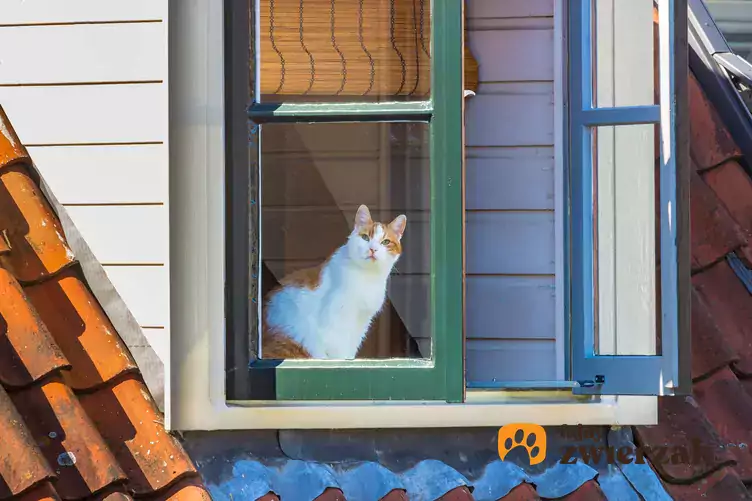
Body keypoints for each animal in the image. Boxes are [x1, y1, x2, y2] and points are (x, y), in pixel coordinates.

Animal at [262, 204, 408, 360]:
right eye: (365, 237)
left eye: (386, 242)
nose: (372, 249)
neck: (367, 275)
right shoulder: (336, 319)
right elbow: (339, 350)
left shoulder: (361, 323)